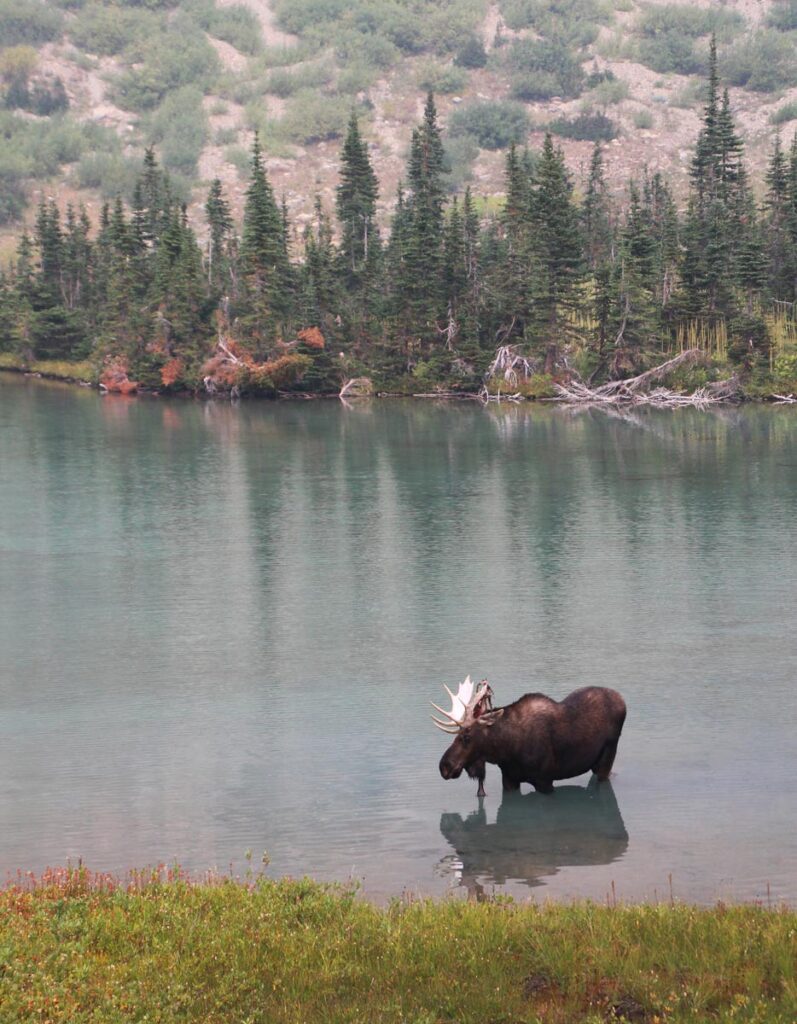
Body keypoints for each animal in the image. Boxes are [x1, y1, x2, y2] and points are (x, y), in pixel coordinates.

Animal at [432, 675, 622, 794]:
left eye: (466, 736)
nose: (444, 766)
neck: (506, 750)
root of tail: (622, 700)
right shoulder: (509, 779)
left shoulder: (545, 781)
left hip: (608, 755)